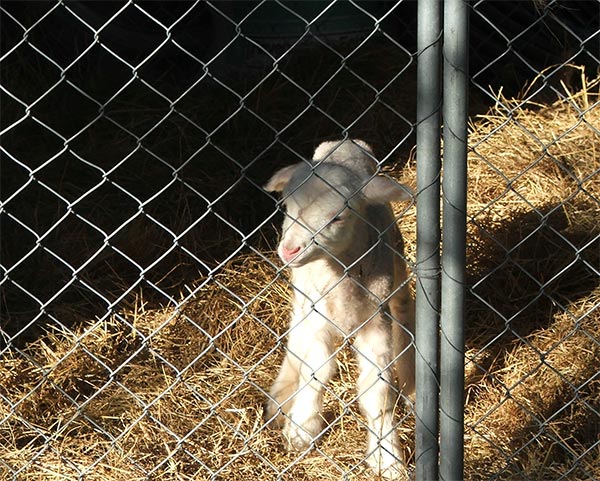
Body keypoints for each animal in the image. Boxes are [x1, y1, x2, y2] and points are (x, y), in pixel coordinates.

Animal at [264, 139, 414, 476]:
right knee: (297, 336)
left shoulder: (376, 321)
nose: (289, 250)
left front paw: (388, 457)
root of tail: (345, 144)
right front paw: (301, 429)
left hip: (396, 265)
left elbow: (377, 390)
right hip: (303, 297)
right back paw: (282, 397)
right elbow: (316, 369)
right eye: (287, 208)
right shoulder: (318, 314)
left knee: (404, 309)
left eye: (338, 217)